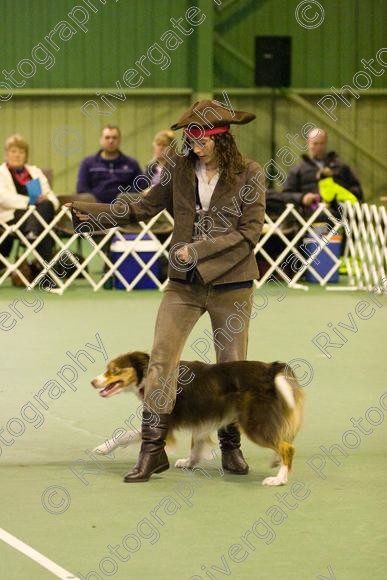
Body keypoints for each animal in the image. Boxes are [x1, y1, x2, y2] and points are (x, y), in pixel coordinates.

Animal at [91, 352, 306, 488]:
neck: (151, 374)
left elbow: (126, 434)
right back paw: (276, 462)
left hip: (254, 423)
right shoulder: (201, 418)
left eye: (114, 370)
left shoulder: (166, 421)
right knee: (282, 441)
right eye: (107, 369)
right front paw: (189, 462)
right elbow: (197, 442)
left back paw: (278, 479)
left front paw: (103, 448)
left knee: (287, 447)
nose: (93, 382)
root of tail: (271, 369)